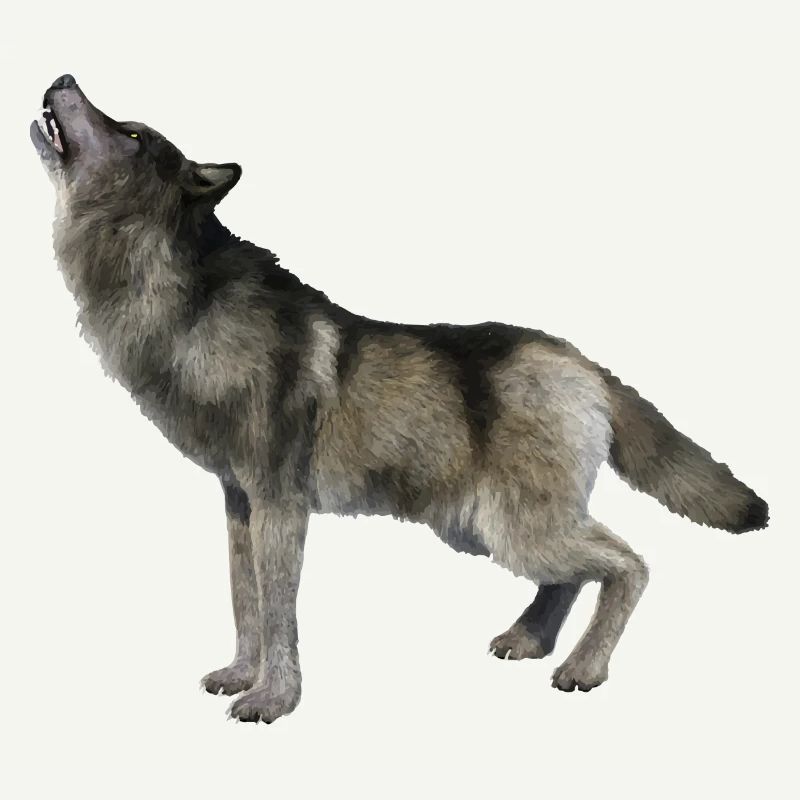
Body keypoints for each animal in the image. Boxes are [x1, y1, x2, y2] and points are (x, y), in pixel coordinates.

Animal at [31, 74, 768, 724]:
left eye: (130, 133)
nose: (63, 78)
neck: (181, 298)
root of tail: (580, 361)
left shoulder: (280, 505)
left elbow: (278, 613)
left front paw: (273, 700)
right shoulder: (239, 504)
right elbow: (246, 605)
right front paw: (242, 675)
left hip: (513, 529)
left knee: (629, 564)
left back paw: (582, 668)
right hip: (487, 529)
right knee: (575, 575)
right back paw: (528, 641)